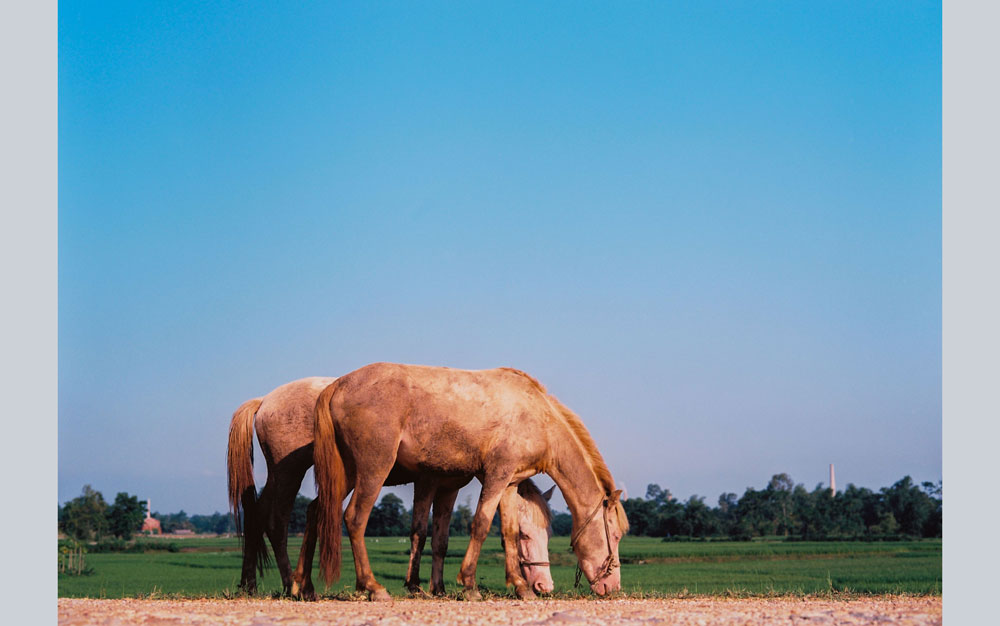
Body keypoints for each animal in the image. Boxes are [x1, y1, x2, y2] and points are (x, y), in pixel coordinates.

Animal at [227, 372, 556, 596]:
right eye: (526, 535)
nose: (545, 585)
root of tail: (265, 400)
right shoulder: (429, 481)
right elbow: (421, 532)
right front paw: (418, 586)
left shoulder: (446, 486)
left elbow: (436, 536)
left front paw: (431, 587)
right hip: (290, 471)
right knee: (277, 520)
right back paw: (291, 584)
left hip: (286, 473)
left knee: (259, 514)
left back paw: (252, 584)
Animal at [312, 360, 628, 600]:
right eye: (614, 536)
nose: (612, 586)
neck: (538, 418)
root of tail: (337, 385)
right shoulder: (496, 476)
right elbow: (481, 525)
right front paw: (469, 584)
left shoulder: (510, 484)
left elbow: (507, 532)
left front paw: (521, 587)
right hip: (373, 470)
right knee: (354, 518)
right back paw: (373, 587)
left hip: (346, 475)